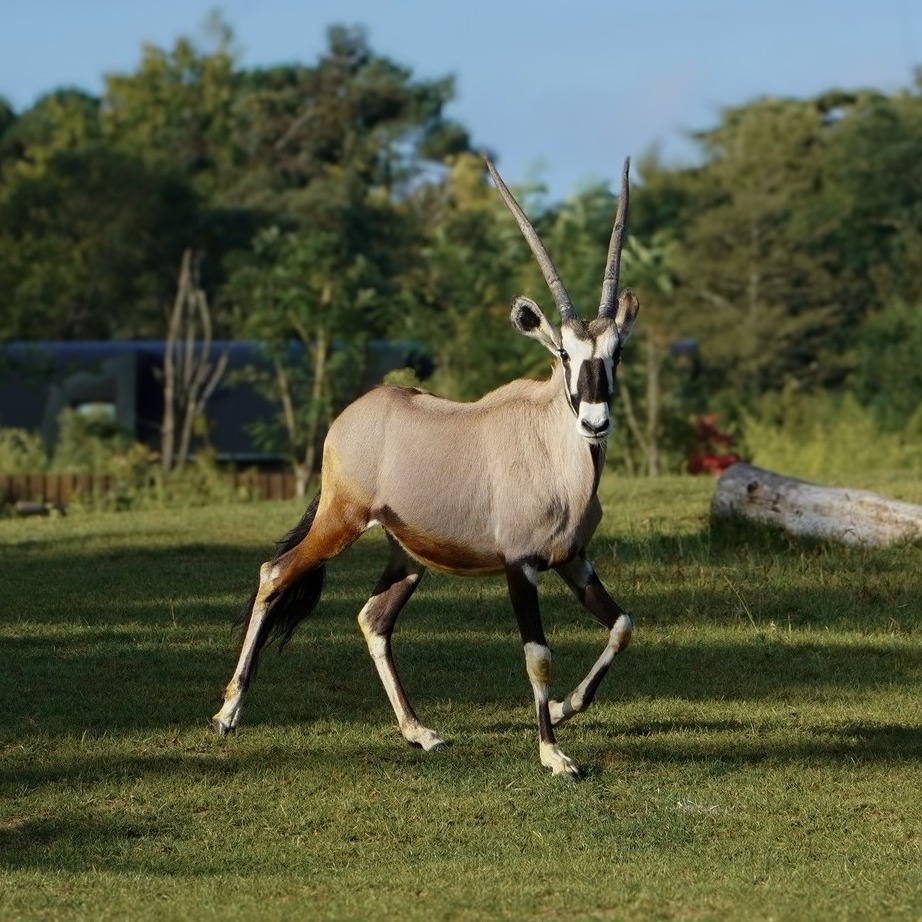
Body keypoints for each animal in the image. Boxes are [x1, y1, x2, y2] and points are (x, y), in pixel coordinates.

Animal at [211, 155, 636, 772]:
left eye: (615, 352)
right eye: (563, 354)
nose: (595, 423)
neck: (557, 456)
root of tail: (351, 416)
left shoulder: (574, 561)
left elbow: (622, 625)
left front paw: (562, 710)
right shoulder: (522, 566)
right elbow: (537, 656)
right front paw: (554, 754)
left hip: (407, 554)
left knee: (373, 617)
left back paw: (419, 731)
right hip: (340, 521)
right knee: (275, 573)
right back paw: (228, 712)